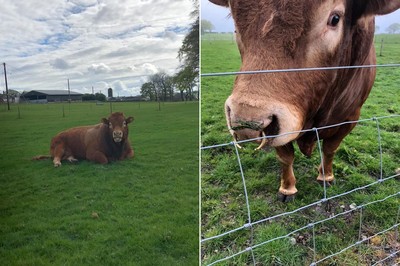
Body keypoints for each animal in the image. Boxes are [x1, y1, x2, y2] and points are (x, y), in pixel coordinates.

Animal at [211, 0, 398, 202]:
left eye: (335, 18)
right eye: (236, 22)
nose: (247, 121)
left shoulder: (350, 118)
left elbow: (330, 149)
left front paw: (326, 176)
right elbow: (285, 157)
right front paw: (287, 188)